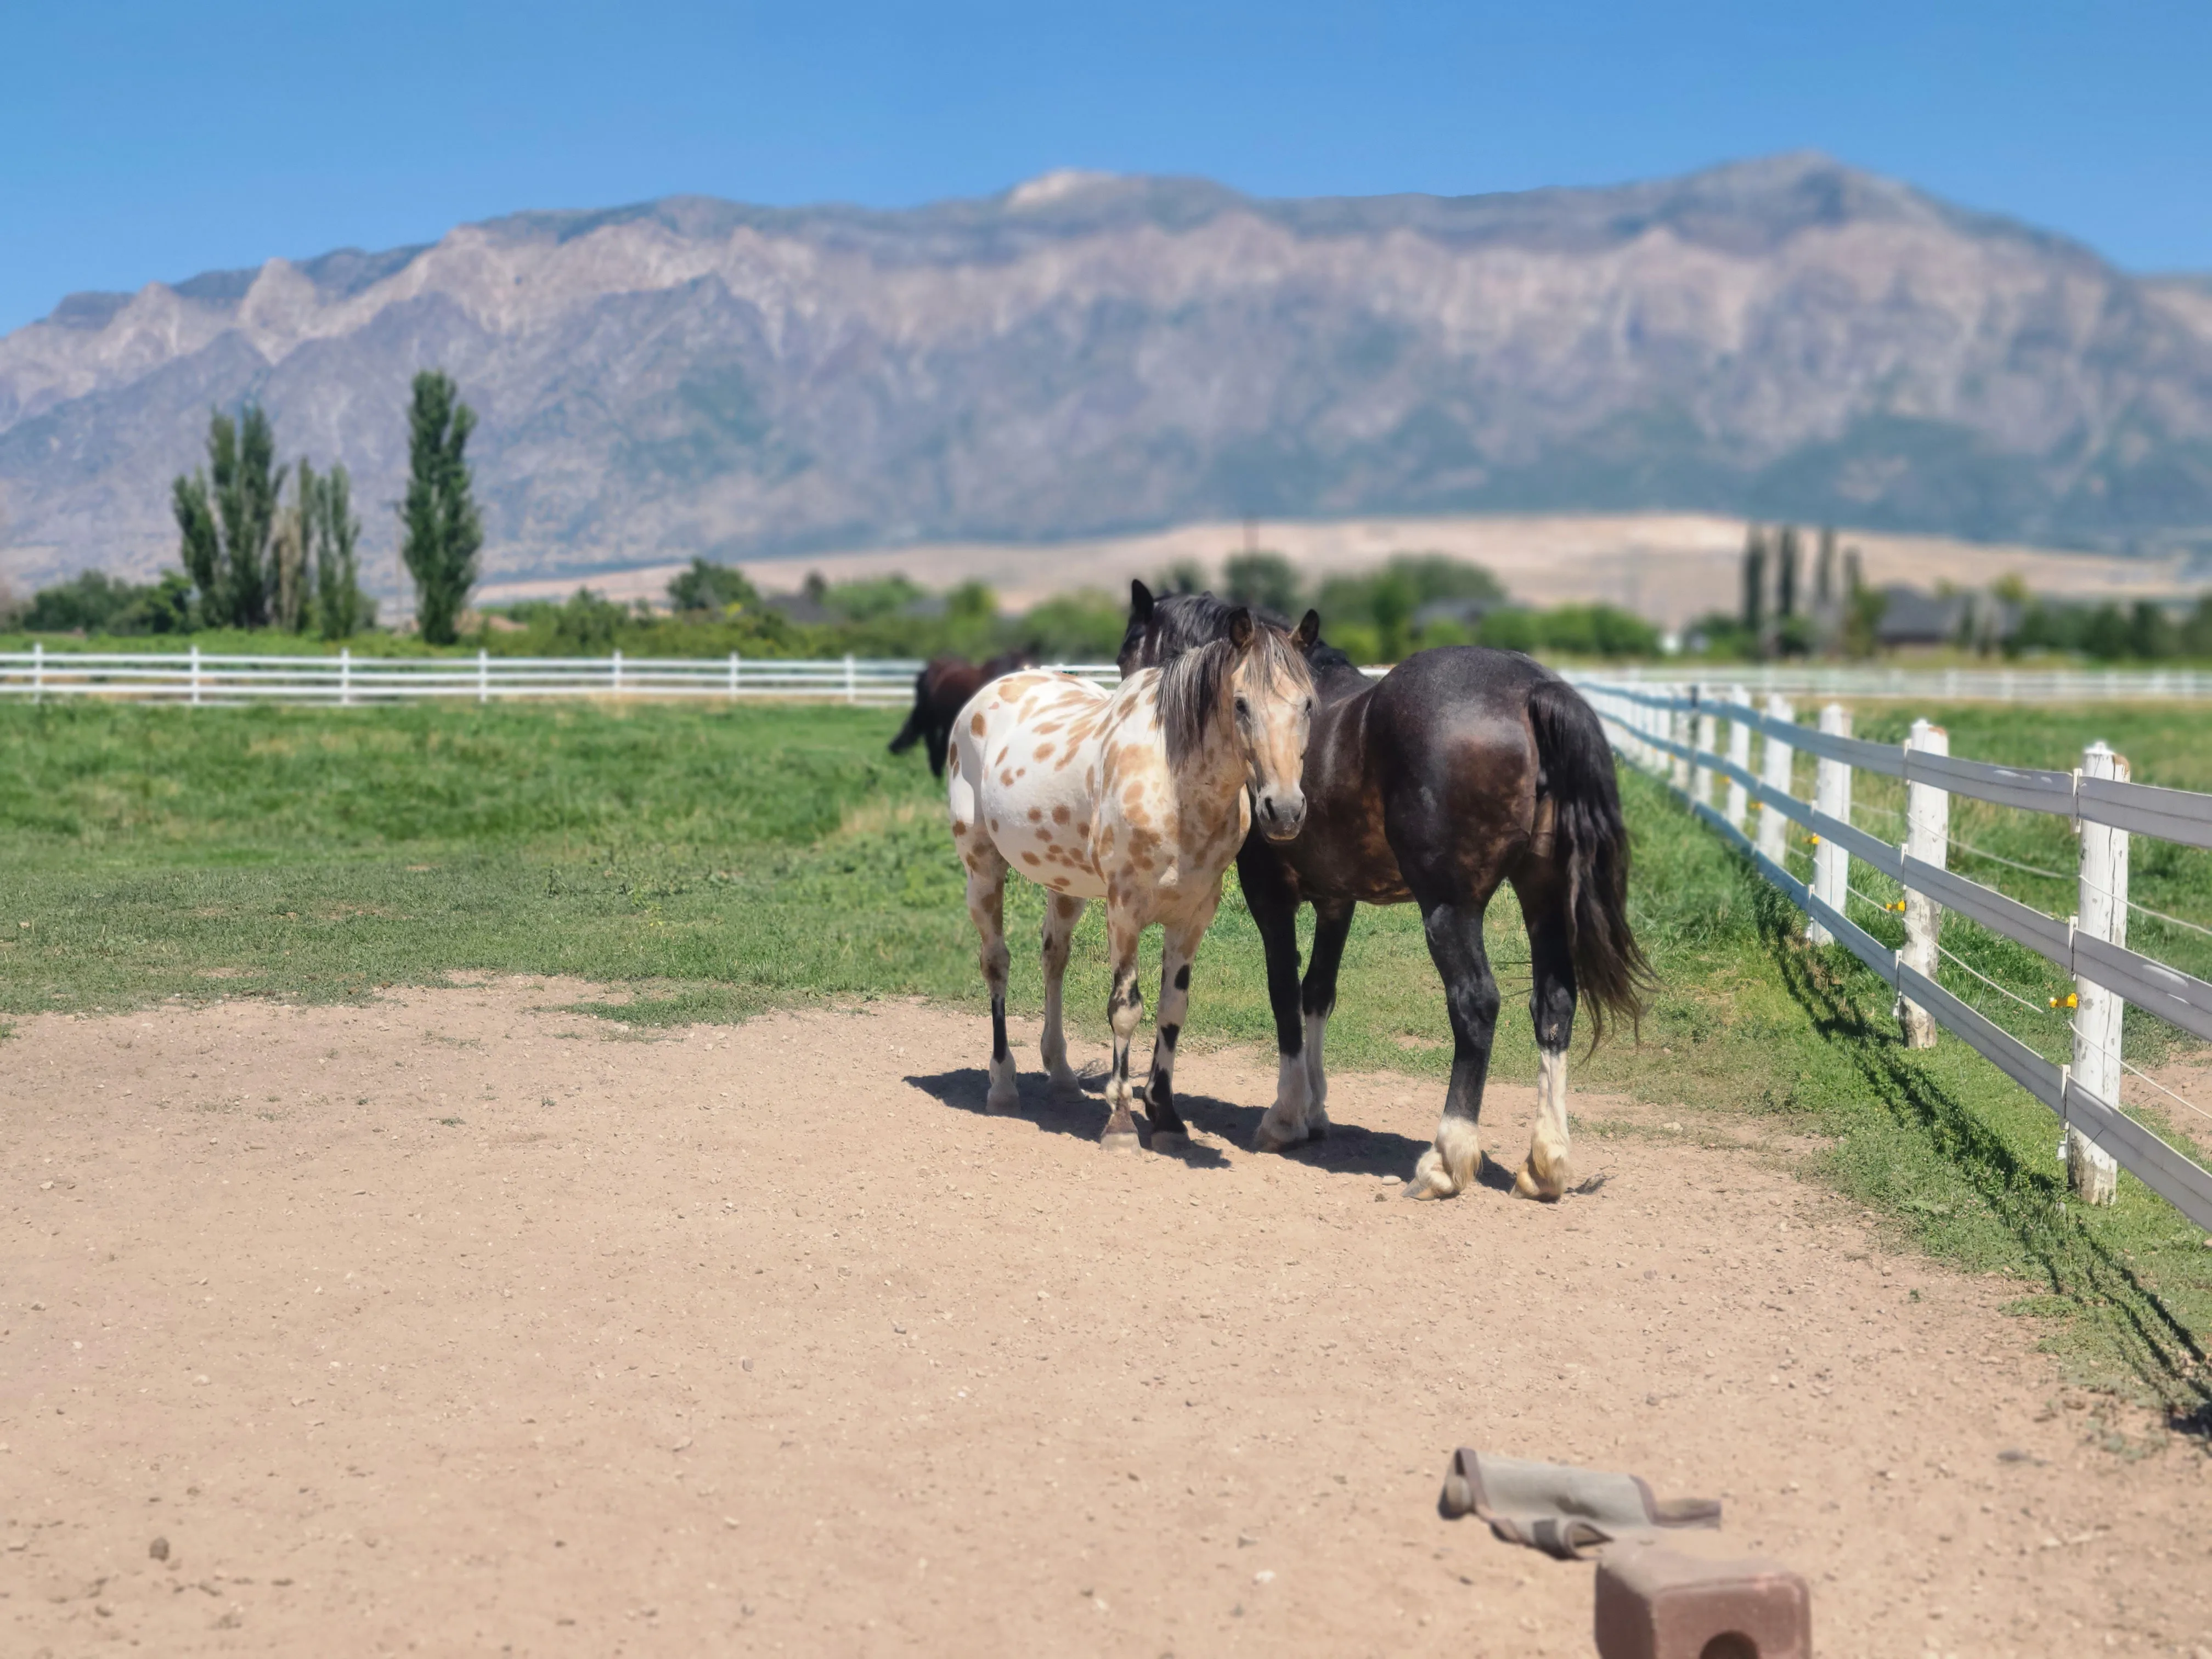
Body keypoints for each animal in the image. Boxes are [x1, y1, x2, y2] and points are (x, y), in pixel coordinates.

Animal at [947, 608, 1320, 1151]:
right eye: (1241, 704)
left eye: (1308, 704)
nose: (1285, 810)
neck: (1175, 787)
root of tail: (985, 697)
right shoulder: (1123, 911)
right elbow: (1125, 1009)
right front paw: (1121, 1123)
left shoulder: (1192, 917)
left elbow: (1172, 1009)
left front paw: (1166, 1117)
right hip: (982, 868)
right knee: (996, 963)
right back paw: (1002, 1084)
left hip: (1066, 886)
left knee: (1054, 958)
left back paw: (1062, 1077)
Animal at [1117, 582, 1648, 1200]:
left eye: (1126, 657)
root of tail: (1532, 690)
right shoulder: (1337, 901)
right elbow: (1317, 992)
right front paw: (1315, 1110)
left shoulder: (1269, 896)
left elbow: (1283, 994)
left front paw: (1286, 1116)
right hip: (1542, 898)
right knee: (1555, 1004)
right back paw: (1546, 1163)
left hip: (1450, 909)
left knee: (1476, 1004)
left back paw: (1446, 1159)